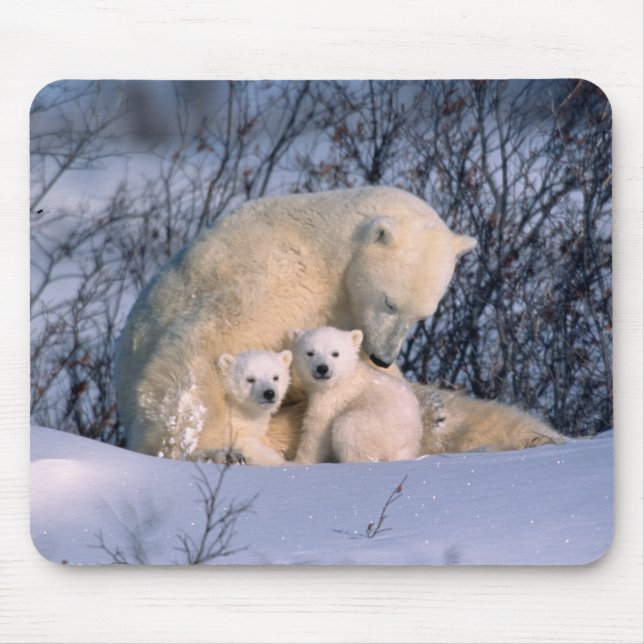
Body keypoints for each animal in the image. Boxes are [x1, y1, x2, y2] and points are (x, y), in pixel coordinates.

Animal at [291, 327, 423, 464]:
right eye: (310, 353)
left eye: (335, 353)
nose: (322, 368)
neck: (345, 376)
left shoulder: (333, 397)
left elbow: (316, 429)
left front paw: (297, 461)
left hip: (375, 428)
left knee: (347, 430)